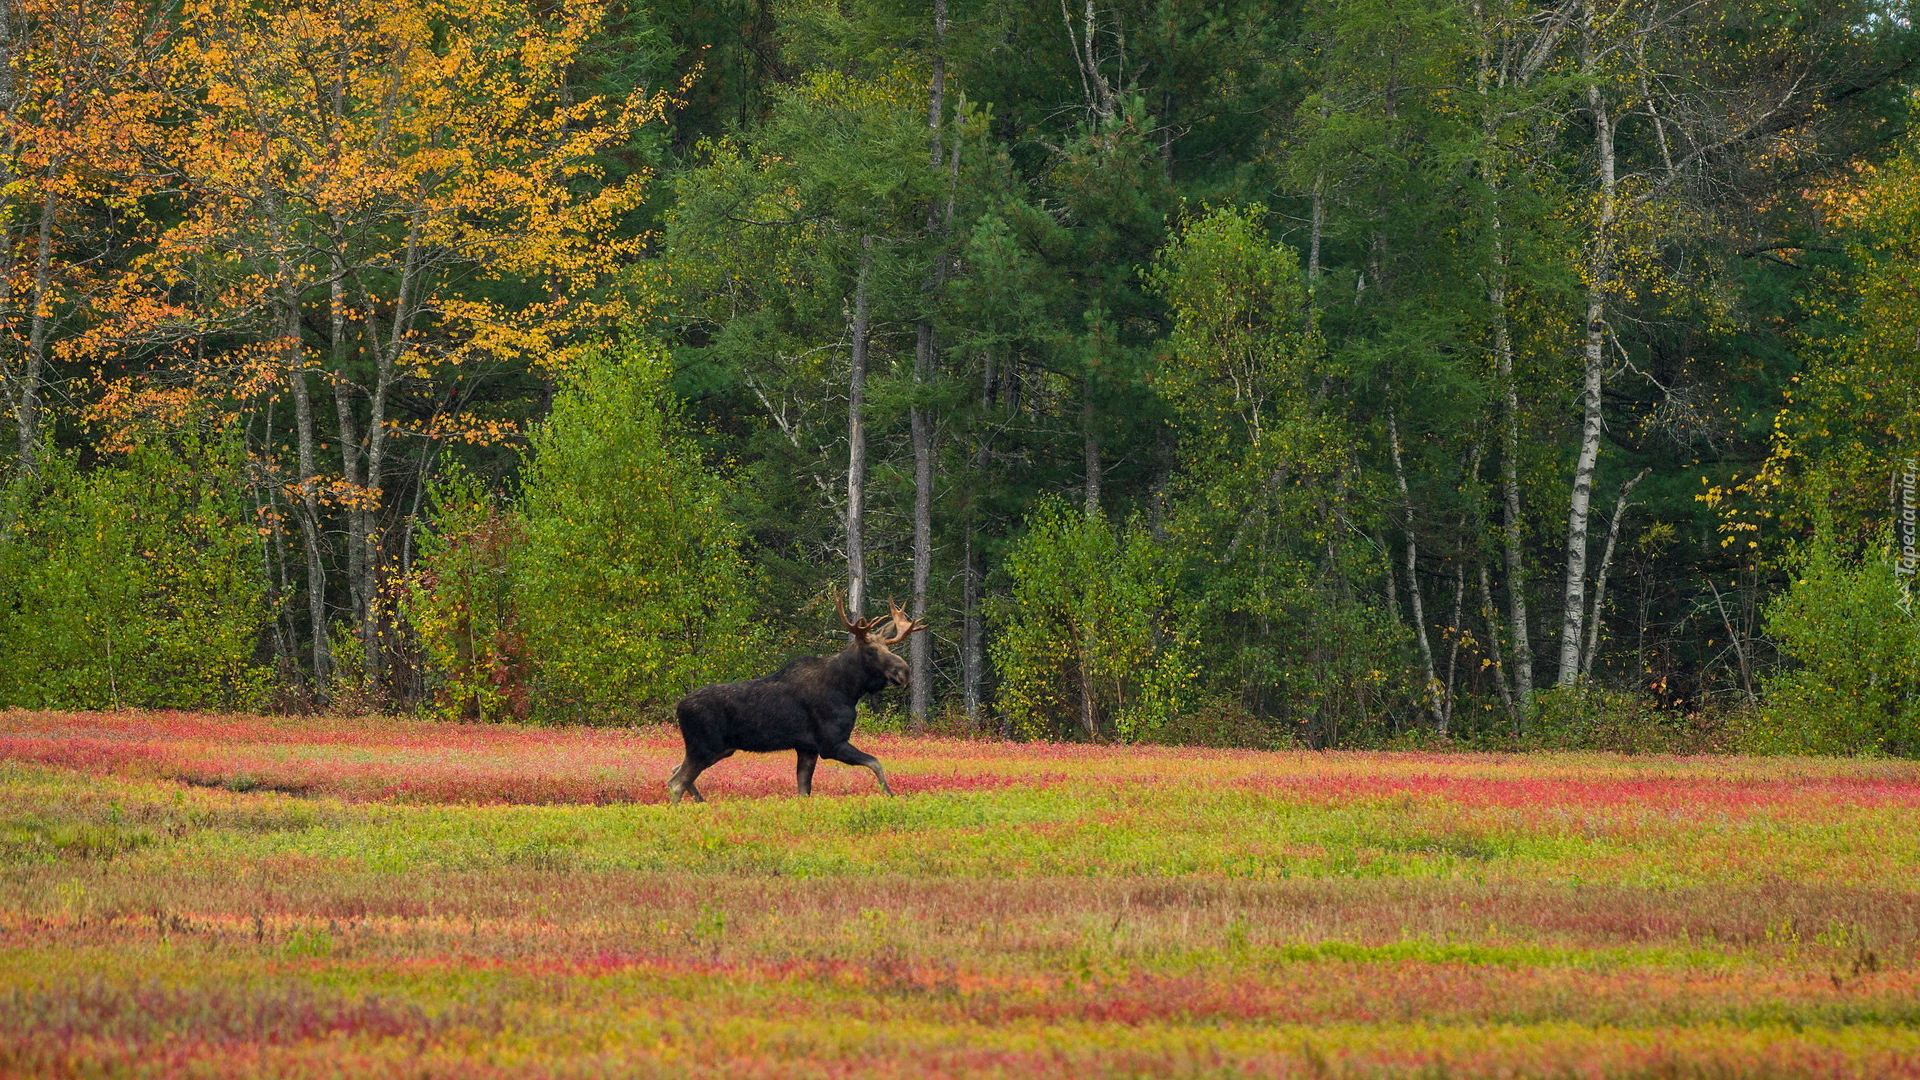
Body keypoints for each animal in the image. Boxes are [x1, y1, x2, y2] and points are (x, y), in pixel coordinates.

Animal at [668, 588, 921, 799]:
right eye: (871, 650)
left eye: (887, 647)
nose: (904, 671)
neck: (849, 691)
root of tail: (679, 707)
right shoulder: (831, 743)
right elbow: (876, 762)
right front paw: (890, 795)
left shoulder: (807, 748)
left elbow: (803, 791)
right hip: (705, 747)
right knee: (676, 782)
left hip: (719, 749)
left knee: (675, 771)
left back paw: (700, 802)